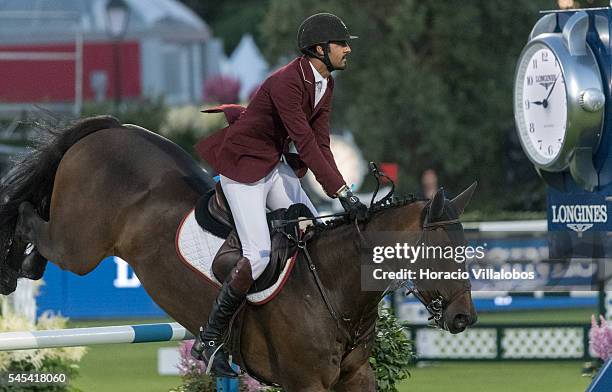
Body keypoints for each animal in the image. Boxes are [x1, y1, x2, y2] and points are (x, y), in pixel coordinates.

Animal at [0, 116, 478, 392]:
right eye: (440, 252)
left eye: (466, 250)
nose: (464, 319)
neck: (332, 287)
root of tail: (111, 129)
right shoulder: (305, 383)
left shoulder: (356, 377)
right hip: (80, 246)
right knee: (27, 215)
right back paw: (12, 268)